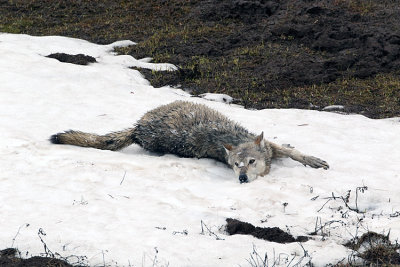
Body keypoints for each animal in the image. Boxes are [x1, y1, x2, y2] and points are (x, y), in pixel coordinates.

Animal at [50, 101, 328, 184]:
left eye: (251, 162)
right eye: (236, 166)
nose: (242, 179)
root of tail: (138, 128)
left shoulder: (269, 145)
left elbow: (295, 153)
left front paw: (312, 160)